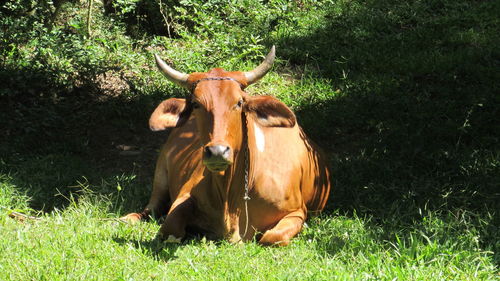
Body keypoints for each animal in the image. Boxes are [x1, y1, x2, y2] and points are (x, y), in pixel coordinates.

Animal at [122, 46, 330, 245]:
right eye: (196, 104)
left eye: (239, 102)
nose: (217, 152)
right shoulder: (183, 196)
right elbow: (169, 228)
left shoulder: (298, 211)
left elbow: (272, 237)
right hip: (161, 173)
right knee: (151, 207)